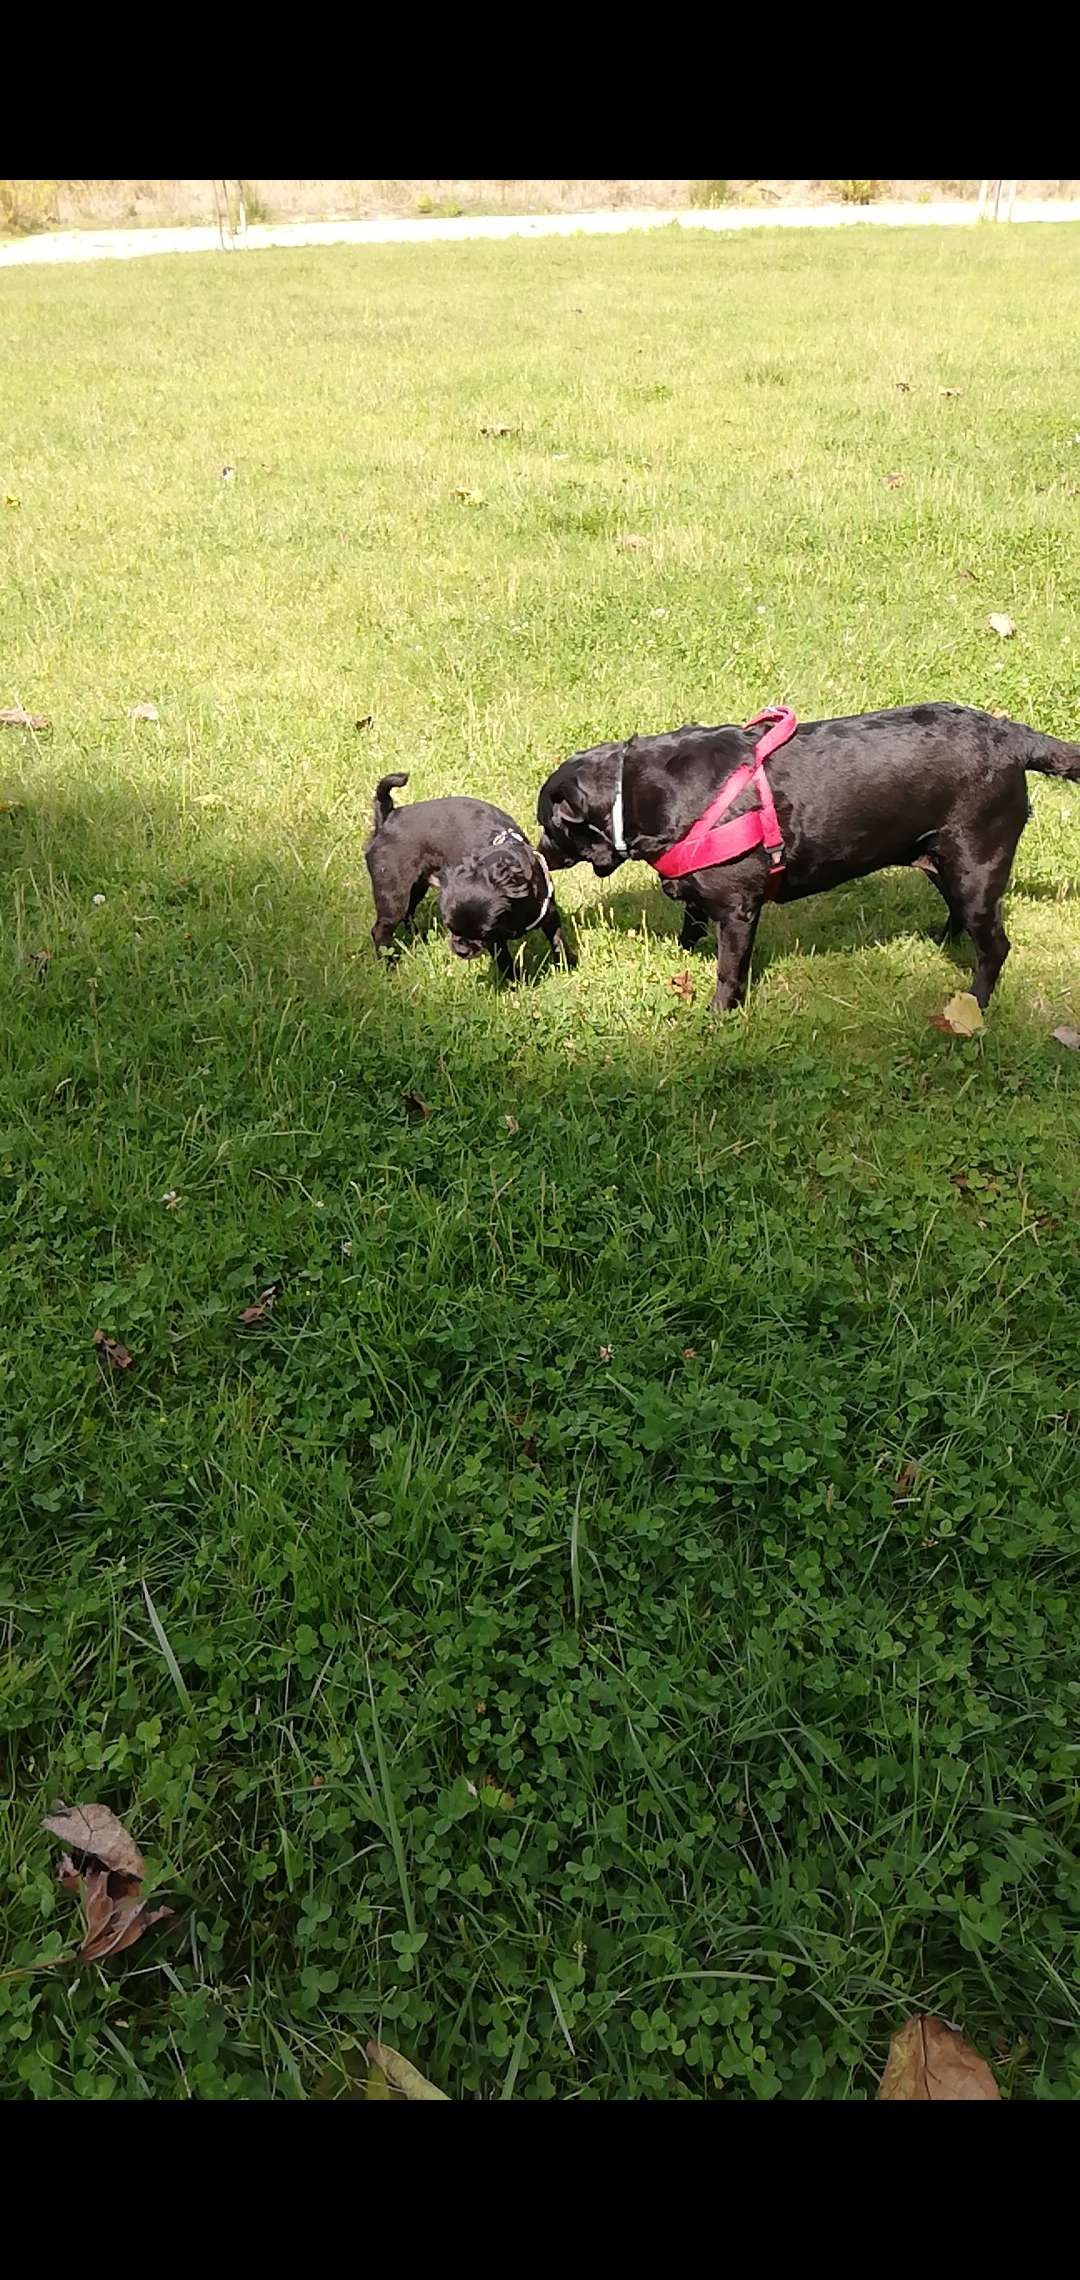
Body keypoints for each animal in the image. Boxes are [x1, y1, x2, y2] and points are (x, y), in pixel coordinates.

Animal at [366, 775, 574, 980]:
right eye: (450, 928)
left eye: (484, 932)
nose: (462, 950)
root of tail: (387, 818)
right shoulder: (496, 941)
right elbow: (504, 960)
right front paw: (514, 980)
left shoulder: (549, 916)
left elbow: (558, 940)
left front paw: (566, 965)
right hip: (394, 895)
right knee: (381, 930)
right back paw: (389, 964)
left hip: (416, 888)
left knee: (408, 913)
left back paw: (418, 938)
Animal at [537, 697, 1080, 1012]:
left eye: (548, 826)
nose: (540, 852)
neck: (635, 790)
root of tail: (1010, 736)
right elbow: (690, 920)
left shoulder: (737, 909)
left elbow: (728, 970)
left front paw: (717, 1015)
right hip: (947, 861)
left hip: (976, 863)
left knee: (995, 946)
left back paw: (974, 1002)